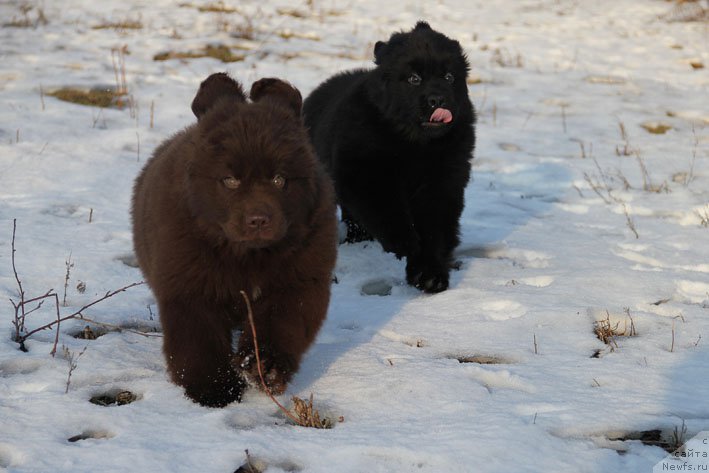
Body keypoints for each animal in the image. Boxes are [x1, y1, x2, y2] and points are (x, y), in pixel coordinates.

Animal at [132, 73, 338, 406]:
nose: (258, 220)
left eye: (280, 179)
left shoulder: (298, 281)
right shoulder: (190, 286)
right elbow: (198, 342)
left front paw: (263, 367)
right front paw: (213, 391)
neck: (246, 256)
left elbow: (280, 326)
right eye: (230, 180)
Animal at [304, 23, 476, 296]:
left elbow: (435, 230)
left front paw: (430, 275)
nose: (438, 100)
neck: (415, 145)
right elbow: (387, 211)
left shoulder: (443, 182)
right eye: (414, 79)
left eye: (449, 77)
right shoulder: (365, 172)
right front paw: (405, 243)